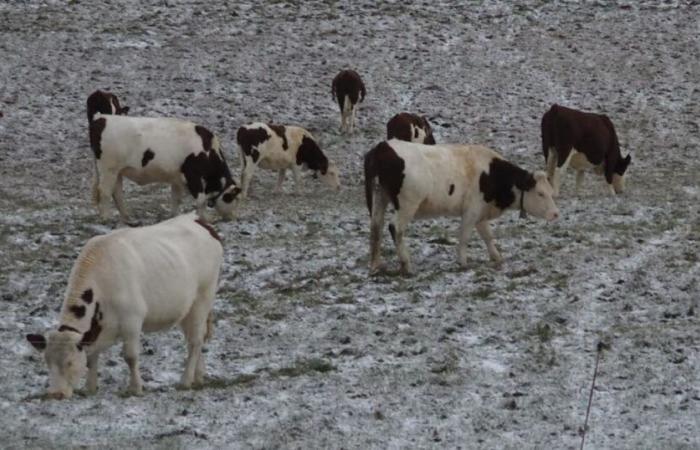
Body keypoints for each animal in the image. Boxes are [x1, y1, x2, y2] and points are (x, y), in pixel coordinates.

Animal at [26, 213, 223, 400]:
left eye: (70, 362)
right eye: (47, 362)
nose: (55, 394)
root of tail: (197, 219)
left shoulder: (132, 321)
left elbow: (130, 356)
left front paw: (135, 388)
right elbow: (91, 357)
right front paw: (90, 387)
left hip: (203, 298)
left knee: (195, 341)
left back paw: (185, 380)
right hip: (185, 308)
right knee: (194, 338)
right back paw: (198, 377)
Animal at [89, 113, 242, 222]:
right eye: (232, 198)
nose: (234, 217)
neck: (208, 150)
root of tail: (101, 119)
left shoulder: (177, 179)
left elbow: (176, 199)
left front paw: (174, 216)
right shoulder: (193, 175)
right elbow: (200, 199)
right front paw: (205, 218)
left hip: (117, 171)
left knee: (117, 193)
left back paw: (127, 217)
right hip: (108, 168)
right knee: (104, 191)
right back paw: (106, 217)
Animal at [364, 140, 560, 274]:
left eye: (551, 192)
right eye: (540, 193)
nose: (555, 214)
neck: (491, 173)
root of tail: (384, 146)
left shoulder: (481, 212)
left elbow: (487, 236)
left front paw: (496, 257)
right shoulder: (471, 211)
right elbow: (465, 236)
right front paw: (463, 262)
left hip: (380, 197)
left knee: (376, 228)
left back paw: (375, 264)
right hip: (407, 205)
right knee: (395, 228)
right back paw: (406, 264)